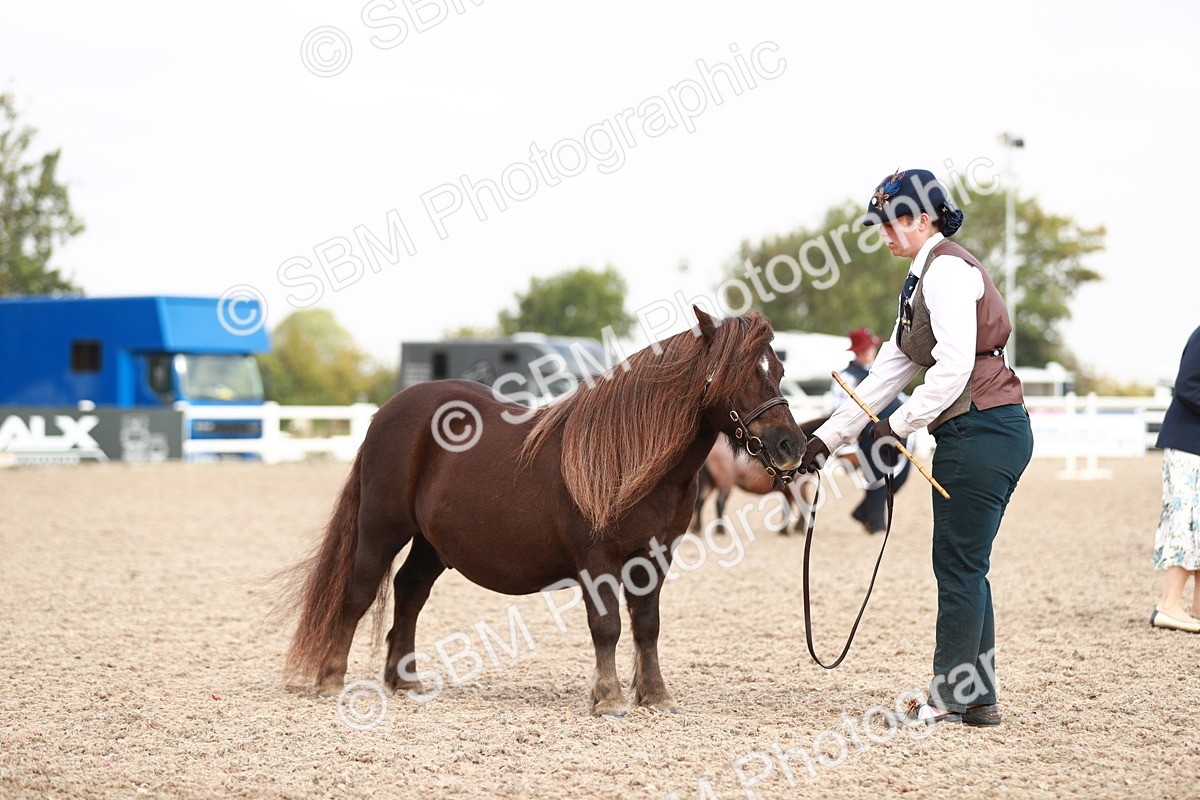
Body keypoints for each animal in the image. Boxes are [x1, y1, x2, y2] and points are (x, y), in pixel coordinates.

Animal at [283, 307, 805, 716]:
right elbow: (607, 626)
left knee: (409, 592)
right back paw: (332, 679)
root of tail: (386, 412)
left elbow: (647, 625)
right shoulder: (598, 559)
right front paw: (609, 698)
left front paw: (655, 696)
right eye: (739, 373)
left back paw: (404, 679)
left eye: (778, 371)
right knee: (359, 592)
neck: (629, 457)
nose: (792, 446)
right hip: (380, 528)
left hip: (434, 543)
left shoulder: (654, 558)